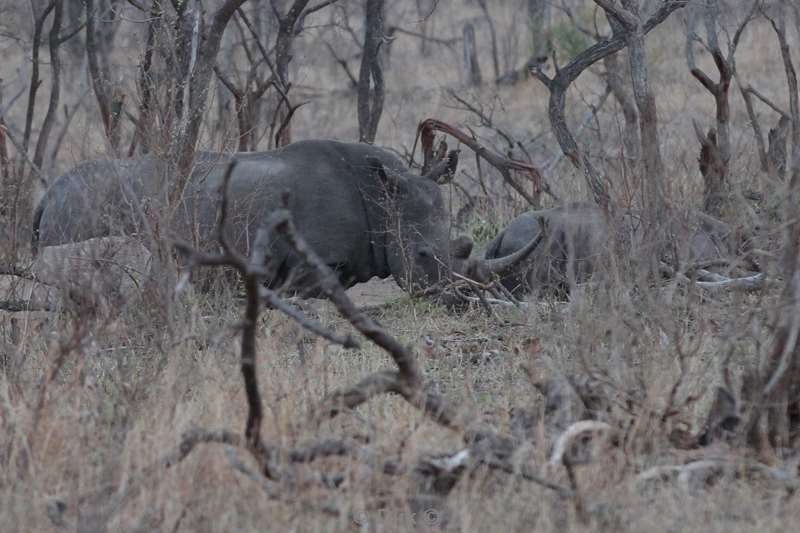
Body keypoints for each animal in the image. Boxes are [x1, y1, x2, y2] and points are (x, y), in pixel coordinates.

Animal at [32, 138, 524, 296]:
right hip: (79, 210)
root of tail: (46, 195)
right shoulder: (311, 264)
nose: (452, 297)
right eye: (421, 255)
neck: (384, 198)